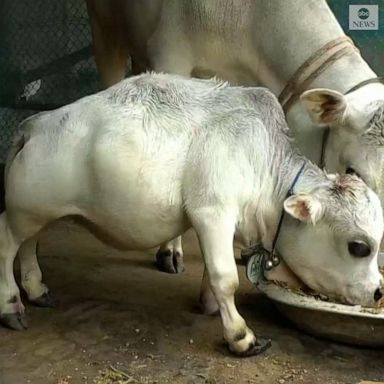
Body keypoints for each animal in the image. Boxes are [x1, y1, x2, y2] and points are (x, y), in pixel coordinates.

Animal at [0, 73, 384, 356]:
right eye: (359, 247)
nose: (379, 292)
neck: (261, 161)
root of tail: (36, 123)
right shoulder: (212, 211)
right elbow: (225, 277)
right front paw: (240, 336)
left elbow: (215, 274)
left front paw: (210, 304)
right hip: (27, 209)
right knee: (8, 243)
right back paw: (11, 304)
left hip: (36, 210)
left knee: (30, 243)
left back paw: (36, 288)